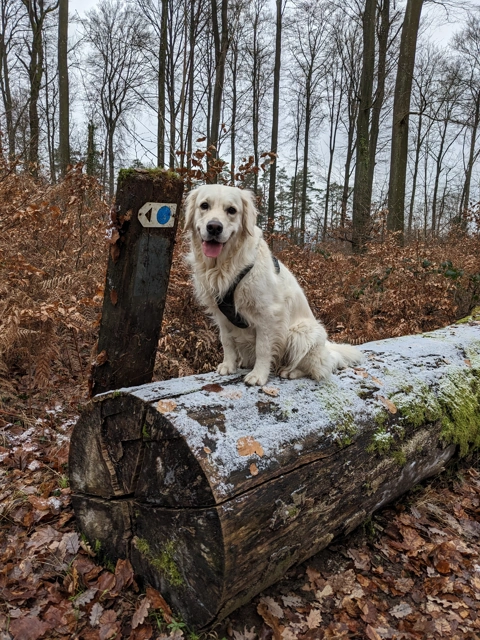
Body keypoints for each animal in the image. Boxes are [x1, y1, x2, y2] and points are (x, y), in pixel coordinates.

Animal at [182, 182, 362, 388]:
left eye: (231, 210)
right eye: (204, 206)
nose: (214, 227)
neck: (224, 265)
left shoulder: (268, 314)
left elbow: (263, 348)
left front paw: (258, 374)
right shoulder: (221, 314)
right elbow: (227, 341)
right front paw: (228, 365)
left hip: (301, 332)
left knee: (317, 366)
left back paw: (290, 371)